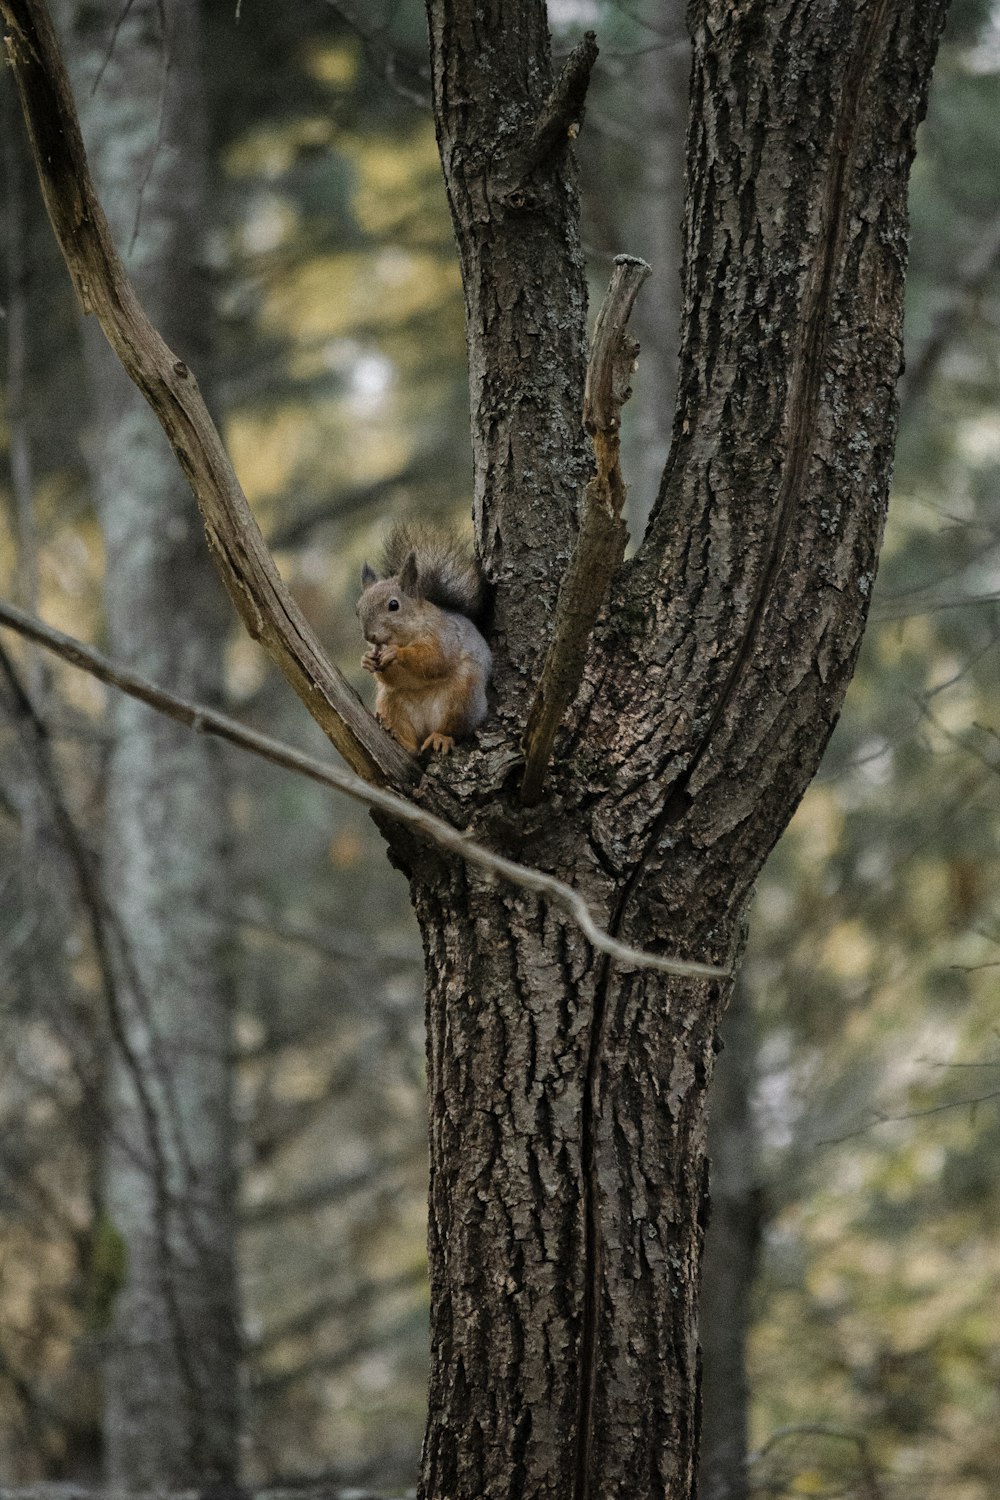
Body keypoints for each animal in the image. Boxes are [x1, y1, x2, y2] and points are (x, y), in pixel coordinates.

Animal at [355, 531, 491, 762]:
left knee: (453, 729)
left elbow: (434, 659)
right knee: (414, 746)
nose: (369, 635)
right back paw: (401, 739)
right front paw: (366, 660)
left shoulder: (444, 636)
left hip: (463, 696)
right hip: (391, 701)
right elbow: (391, 677)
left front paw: (397, 653)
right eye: (358, 609)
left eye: (394, 605)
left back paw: (440, 737)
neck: (406, 635)